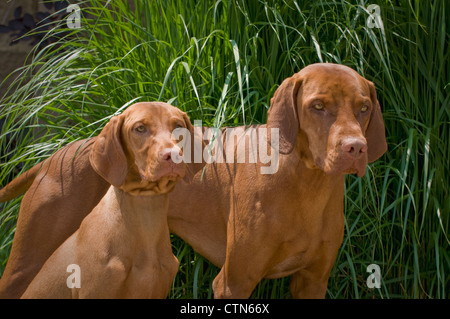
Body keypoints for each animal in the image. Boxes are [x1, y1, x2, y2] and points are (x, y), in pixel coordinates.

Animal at [0, 63, 386, 300]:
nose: (355, 147)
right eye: (318, 106)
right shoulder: (233, 283)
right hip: (27, 263)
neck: (308, 187)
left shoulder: (313, 281)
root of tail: (54, 156)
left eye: (364, 107)